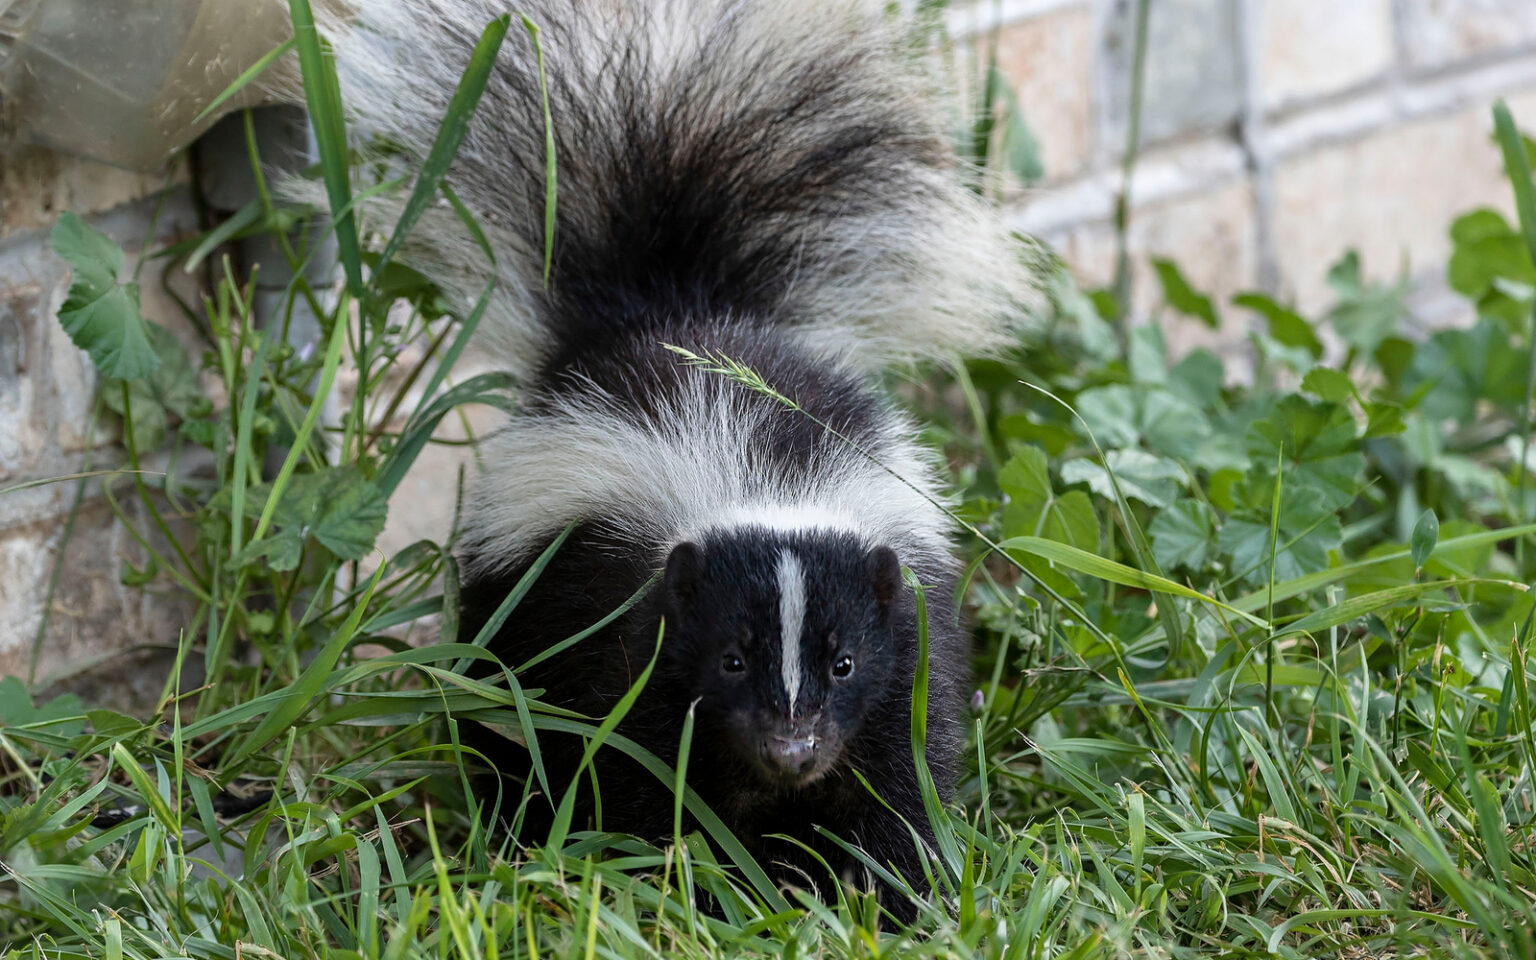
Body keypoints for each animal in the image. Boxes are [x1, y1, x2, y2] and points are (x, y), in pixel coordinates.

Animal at [319, 0, 1038, 915]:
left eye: (842, 661)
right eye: (731, 657)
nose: (792, 748)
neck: (765, 480)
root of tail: (668, 309)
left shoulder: (906, 639)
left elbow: (900, 770)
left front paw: (893, 894)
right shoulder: (630, 632)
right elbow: (640, 768)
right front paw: (685, 888)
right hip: (515, 595)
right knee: (503, 713)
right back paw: (513, 823)